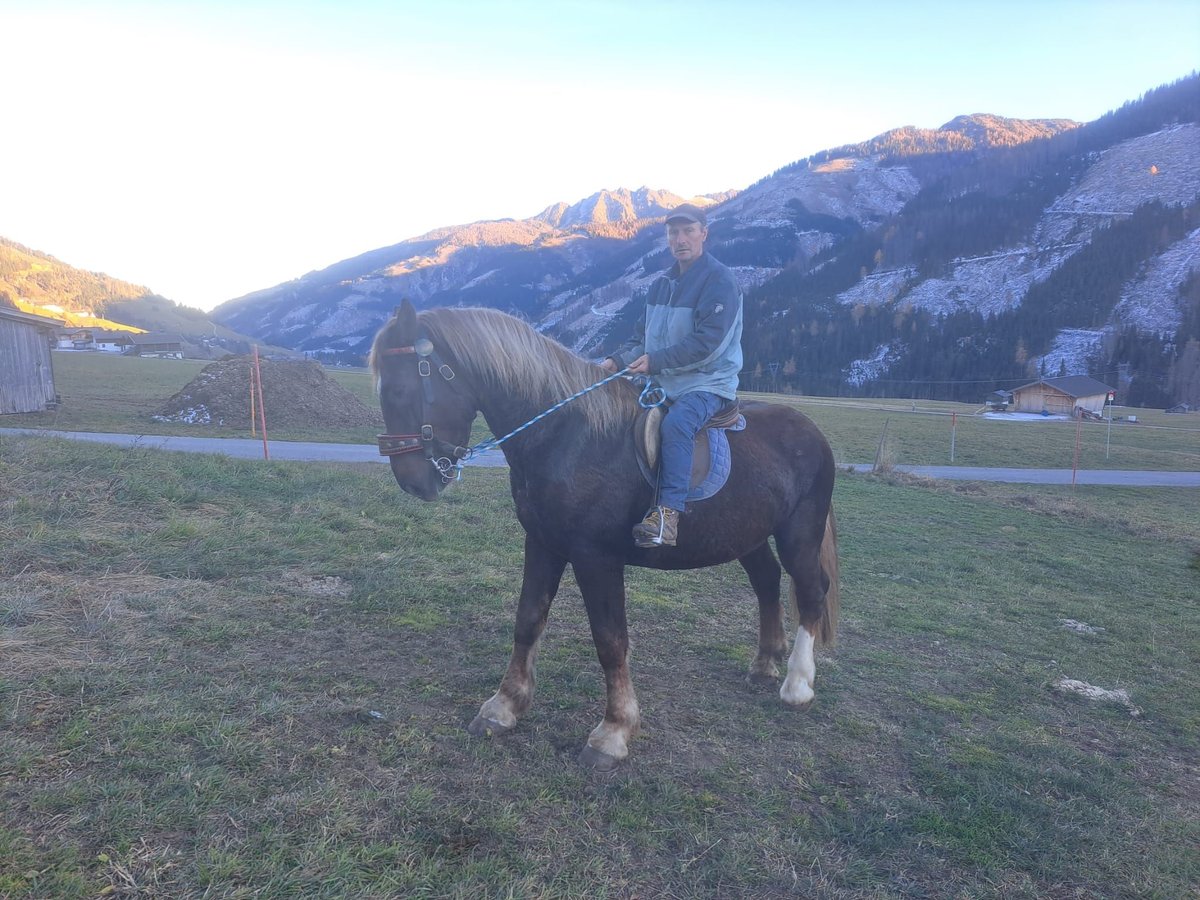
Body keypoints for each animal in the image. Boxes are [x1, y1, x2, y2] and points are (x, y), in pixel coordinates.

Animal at [369, 303, 840, 777]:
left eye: (398, 390)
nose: (413, 482)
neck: (568, 436)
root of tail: (811, 430)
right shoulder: (542, 543)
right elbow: (527, 621)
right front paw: (503, 707)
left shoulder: (596, 558)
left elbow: (610, 642)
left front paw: (613, 732)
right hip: (747, 535)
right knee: (767, 582)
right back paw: (764, 663)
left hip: (799, 531)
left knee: (811, 591)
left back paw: (797, 685)